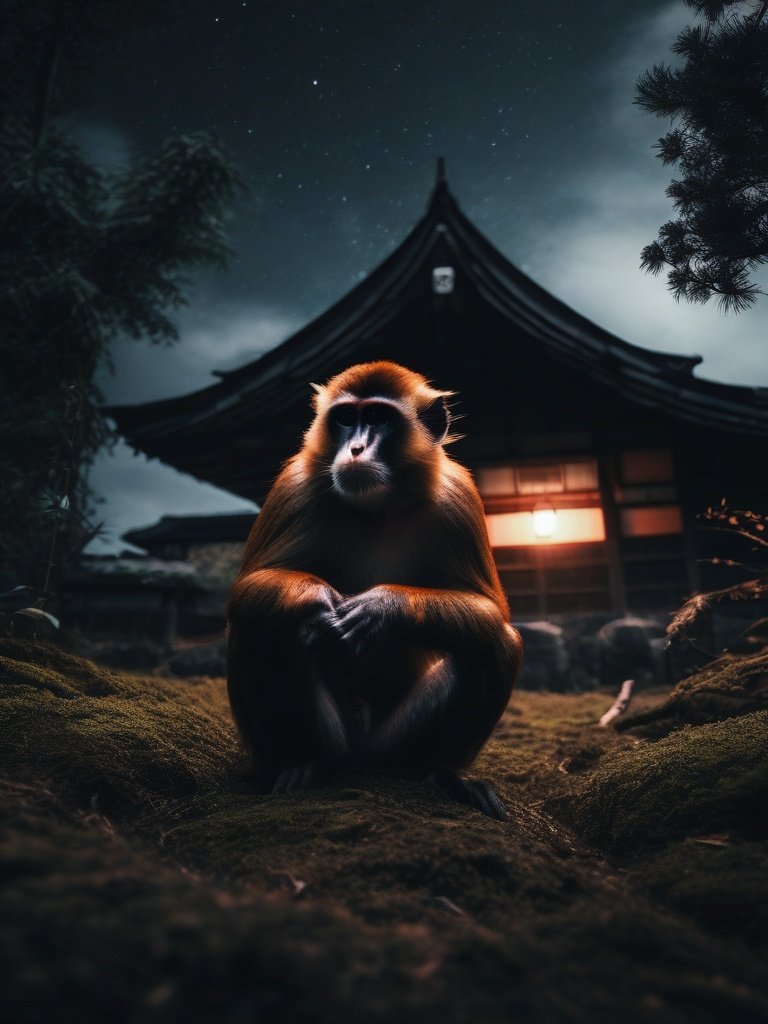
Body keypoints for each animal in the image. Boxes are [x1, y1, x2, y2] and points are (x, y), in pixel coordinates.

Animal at [226, 361, 522, 819]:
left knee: (495, 641)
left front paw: (383, 608)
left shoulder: (459, 495)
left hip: (391, 747)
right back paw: (298, 765)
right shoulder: (295, 483)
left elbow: (490, 610)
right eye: (347, 417)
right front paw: (315, 600)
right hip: (335, 739)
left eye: (380, 418)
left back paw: (441, 774)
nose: (356, 449)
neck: (377, 508)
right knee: (256, 622)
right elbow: (246, 589)